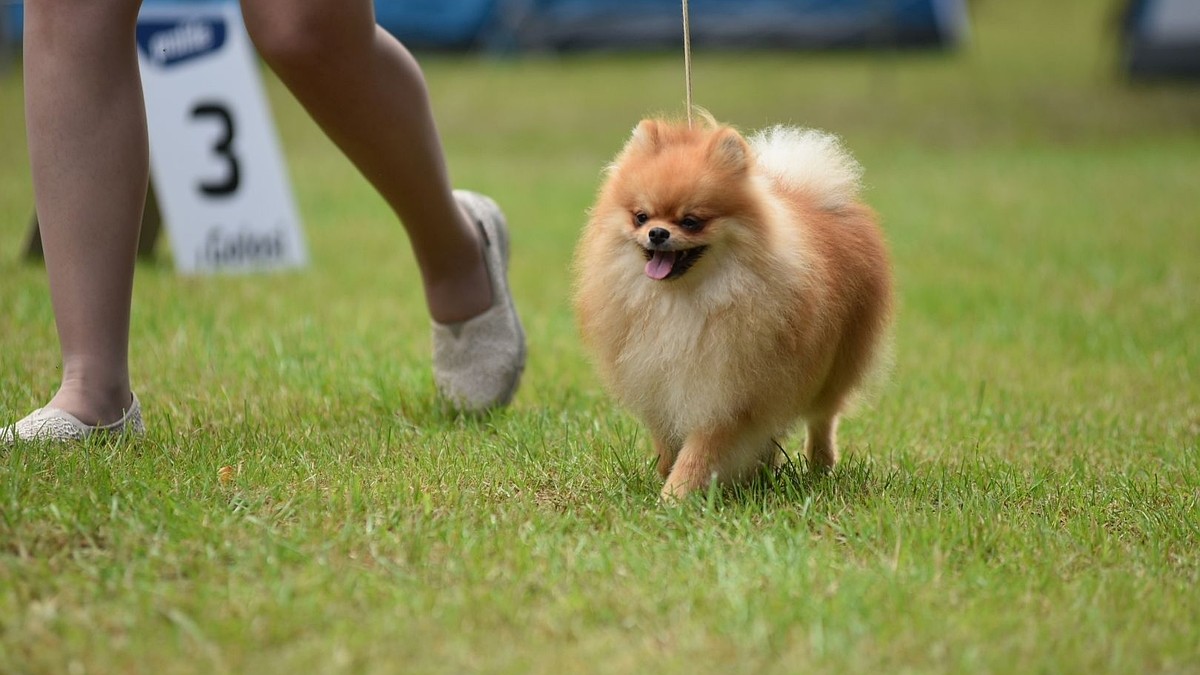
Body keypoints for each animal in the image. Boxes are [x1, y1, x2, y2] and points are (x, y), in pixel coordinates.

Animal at [571, 112, 892, 497]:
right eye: (641, 217)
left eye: (691, 221)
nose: (657, 233)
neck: (680, 300)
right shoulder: (657, 383)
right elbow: (666, 440)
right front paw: (666, 474)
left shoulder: (727, 392)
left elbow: (701, 451)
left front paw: (676, 495)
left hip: (832, 367)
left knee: (822, 417)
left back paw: (819, 464)